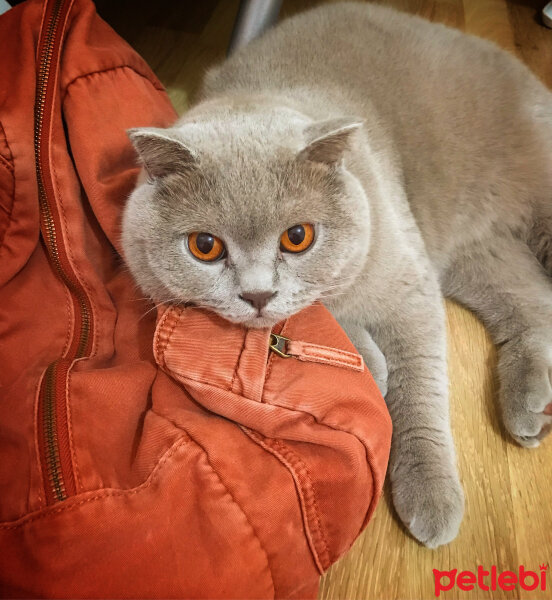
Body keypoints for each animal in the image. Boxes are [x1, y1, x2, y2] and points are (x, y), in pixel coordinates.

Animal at [122, 2, 552, 548]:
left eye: (297, 237)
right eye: (205, 246)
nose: (257, 294)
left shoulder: (408, 283)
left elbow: (419, 386)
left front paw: (431, 492)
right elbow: (331, 311)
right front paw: (372, 361)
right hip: (475, 254)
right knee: (534, 303)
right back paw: (532, 407)